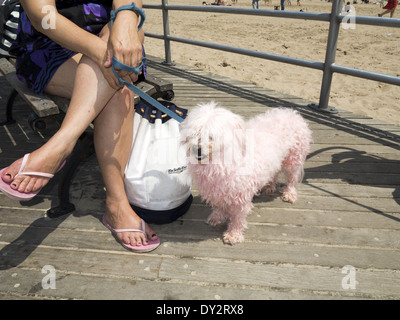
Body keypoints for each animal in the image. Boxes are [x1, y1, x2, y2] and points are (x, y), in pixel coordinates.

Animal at [181, 101, 312, 244]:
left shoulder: (240, 197)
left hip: (293, 159)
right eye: (194, 134)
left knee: (292, 178)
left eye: (211, 136)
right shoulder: (217, 191)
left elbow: (237, 218)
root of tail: (292, 113)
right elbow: (219, 206)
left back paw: (289, 193)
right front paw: (217, 217)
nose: (197, 149)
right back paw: (269, 186)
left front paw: (234, 234)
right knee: (275, 172)